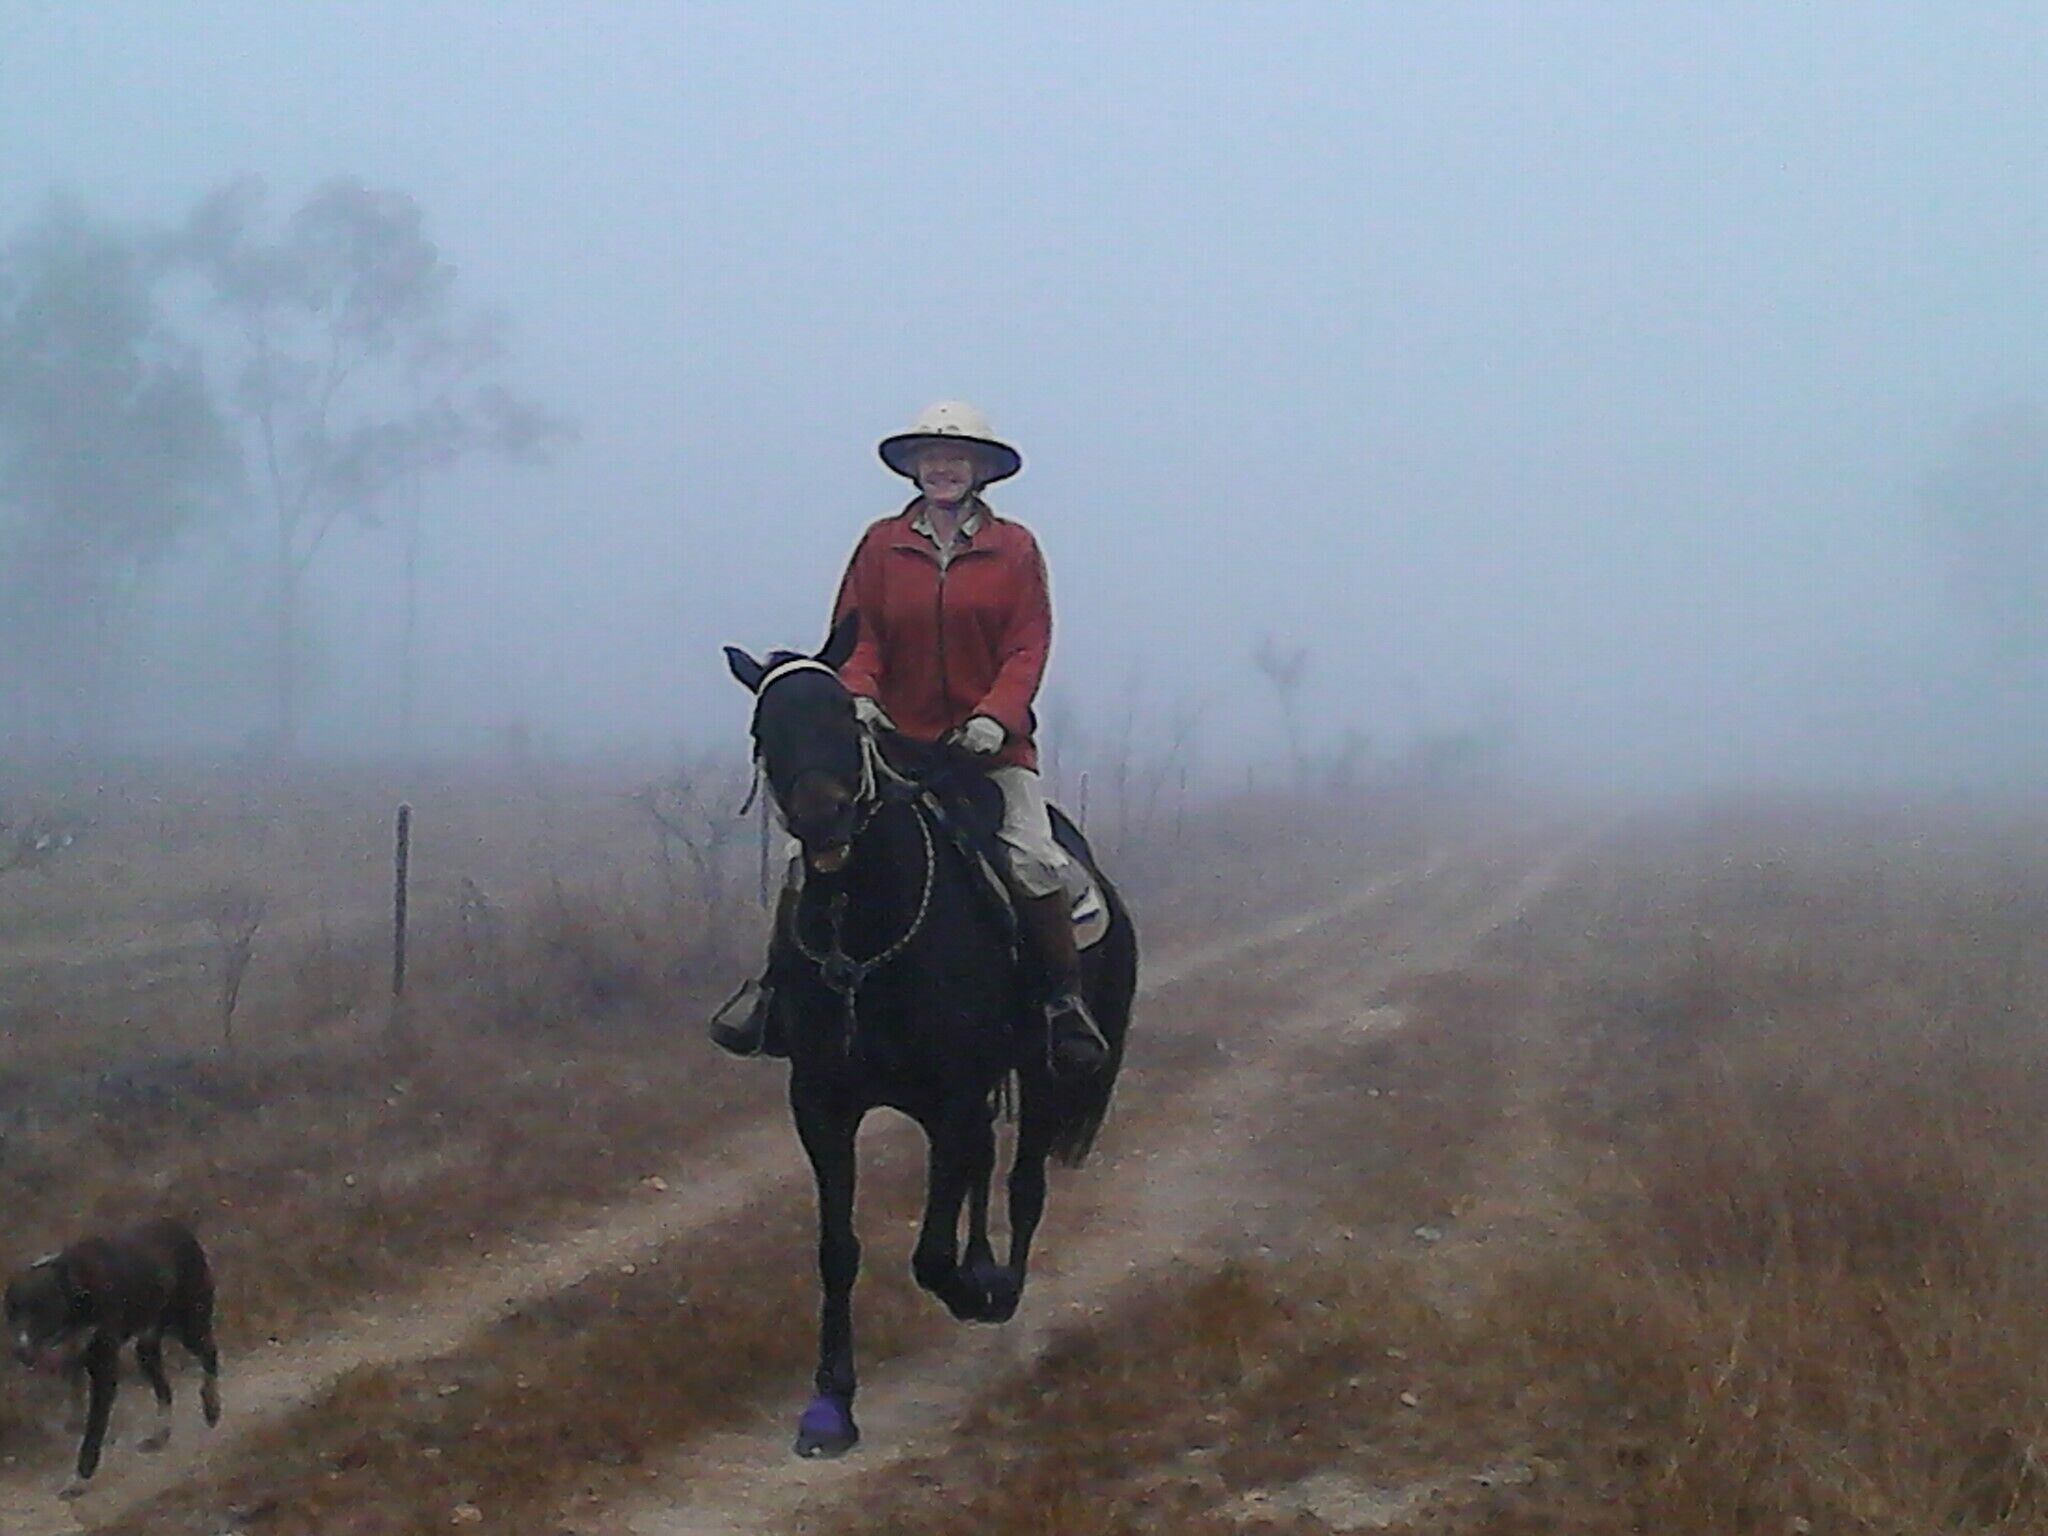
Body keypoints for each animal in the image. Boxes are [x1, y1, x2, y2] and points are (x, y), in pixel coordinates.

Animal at [4, 1220, 220, 1499]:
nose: (18, 1351)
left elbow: (93, 1431)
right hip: (146, 1349)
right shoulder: (72, 1361)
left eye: (40, 1309)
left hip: (189, 1326)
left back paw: (212, 1405)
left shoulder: (103, 1370)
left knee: (210, 1354)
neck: (77, 1290)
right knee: (164, 1388)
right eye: (11, 1311)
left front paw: (80, 1478)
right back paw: (160, 1433)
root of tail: (181, 1229)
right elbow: (76, 1402)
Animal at [720, 610, 1138, 1458]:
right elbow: (839, 1248)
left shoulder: (952, 1096)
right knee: (981, 1172)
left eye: (844, 721)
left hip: (1042, 1074)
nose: (823, 820)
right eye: (763, 729)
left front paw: (975, 1291)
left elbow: (930, 1252)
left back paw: (1000, 1287)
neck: (867, 933)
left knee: (1023, 1185)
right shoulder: (823, 1103)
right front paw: (831, 1401)